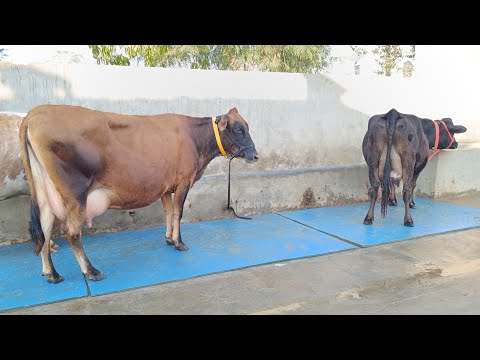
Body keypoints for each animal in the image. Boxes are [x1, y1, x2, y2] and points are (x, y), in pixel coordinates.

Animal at [20, 104, 258, 284]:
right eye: (239, 129)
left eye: (247, 126)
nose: (255, 155)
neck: (195, 139)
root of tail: (36, 112)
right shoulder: (184, 181)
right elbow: (178, 213)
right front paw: (179, 242)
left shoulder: (166, 186)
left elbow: (167, 212)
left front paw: (169, 239)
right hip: (75, 193)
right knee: (72, 233)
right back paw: (91, 271)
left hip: (44, 192)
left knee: (45, 230)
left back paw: (51, 274)